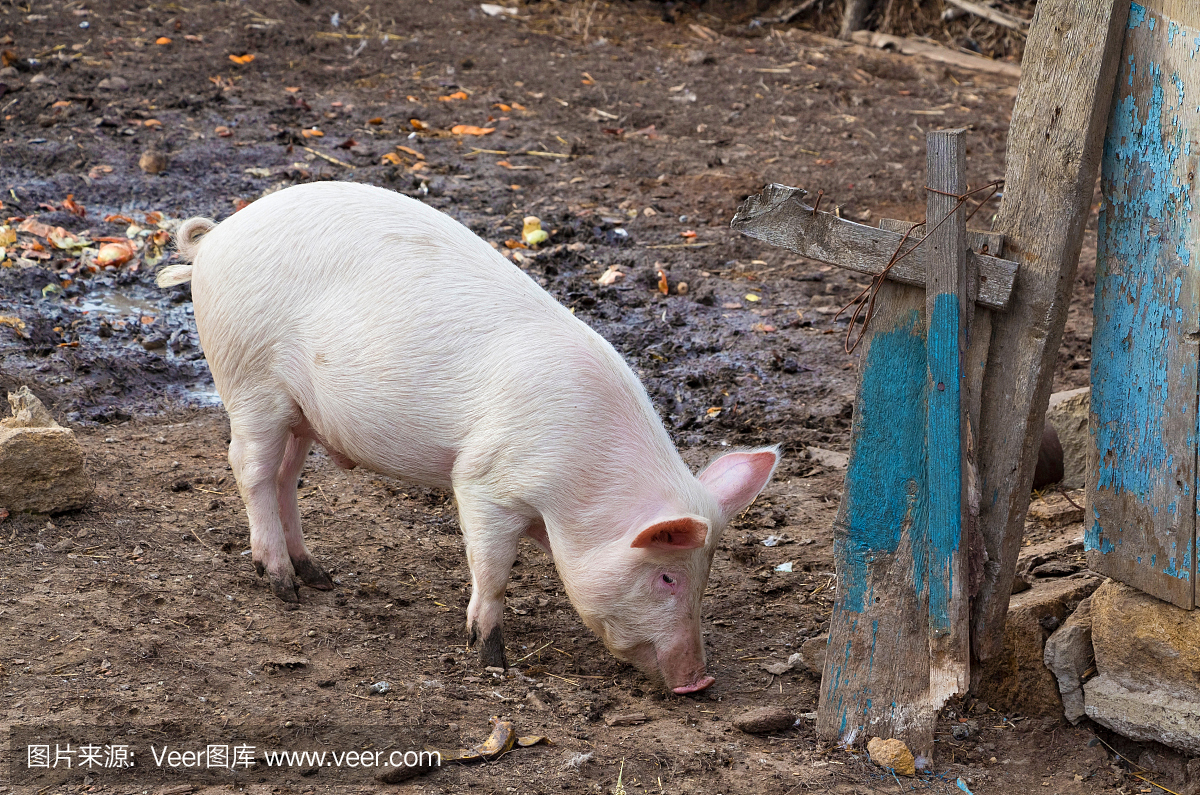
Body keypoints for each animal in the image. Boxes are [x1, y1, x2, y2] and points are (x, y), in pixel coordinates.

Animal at [157, 183, 777, 696]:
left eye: (706, 576)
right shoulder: (484, 482)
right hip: (251, 381)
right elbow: (492, 570)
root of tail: (216, 239)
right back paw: (283, 586)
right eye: (667, 575)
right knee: (250, 468)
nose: (699, 681)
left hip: (304, 412)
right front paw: (492, 663)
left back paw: (321, 577)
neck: (575, 495)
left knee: (287, 476)